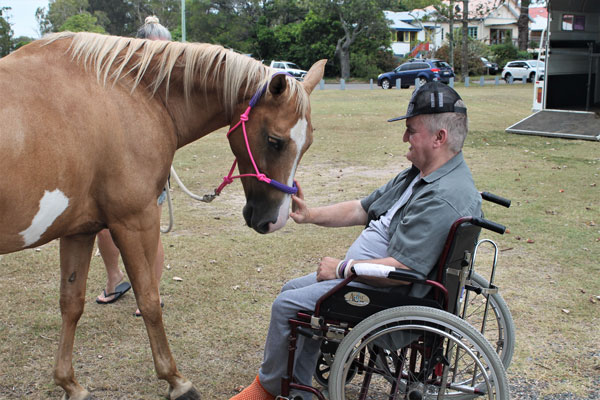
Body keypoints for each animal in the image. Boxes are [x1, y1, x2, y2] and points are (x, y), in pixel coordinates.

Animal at [0, 32, 326, 400]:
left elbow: (71, 303)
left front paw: (70, 383)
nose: (275, 219)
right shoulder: (134, 221)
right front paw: (176, 380)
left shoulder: (79, 230)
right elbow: (150, 299)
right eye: (275, 141)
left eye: (307, 144)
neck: (128, 92)